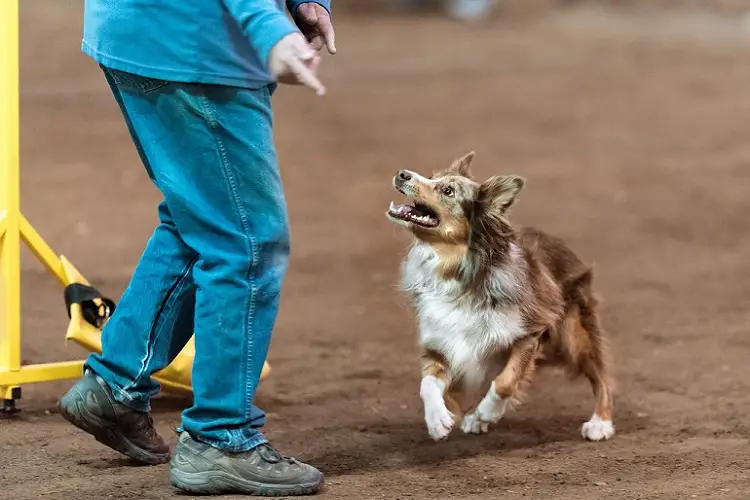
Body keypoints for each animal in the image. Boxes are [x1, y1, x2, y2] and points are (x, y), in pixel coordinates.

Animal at [388, 151, 616, 442]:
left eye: (448, 191)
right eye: (431, 176)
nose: (402, 173)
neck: (457, 273)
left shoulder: (528, 333)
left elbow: (506, 381)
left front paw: (486, 412)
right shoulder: (442, 343)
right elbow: (427, 383)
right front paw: (438, 420)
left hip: (574, 336)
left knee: (602, 376)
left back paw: (600, 422)